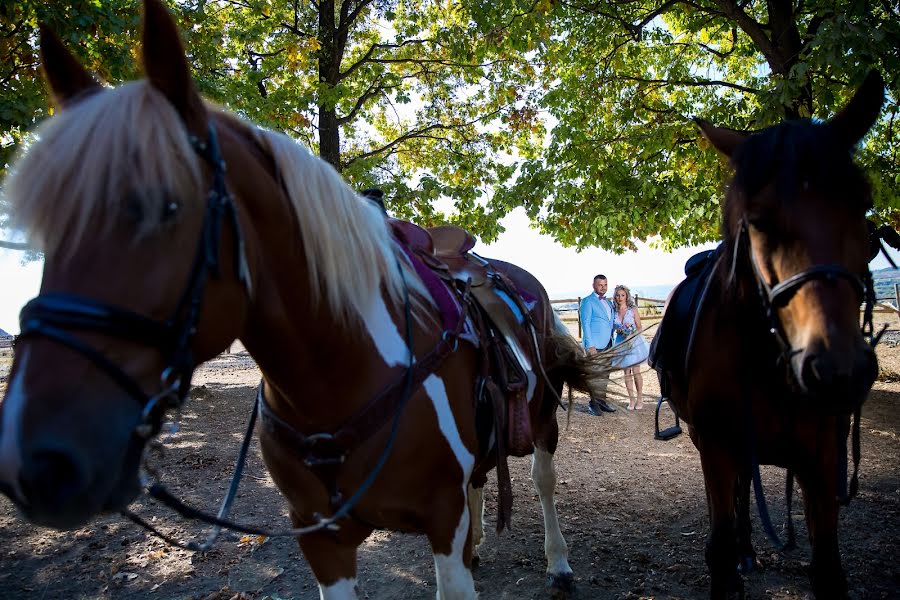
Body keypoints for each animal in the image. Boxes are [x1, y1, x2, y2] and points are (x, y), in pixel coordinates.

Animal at [0, 2, 608, 596]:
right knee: (482, 480)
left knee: (544, 480)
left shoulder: (441, 518)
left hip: (543, 421)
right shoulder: (322, 539)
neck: (340, 372)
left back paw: (559, 562)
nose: (37, 461)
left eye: (166, 206)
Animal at [656, 72, 884, 596]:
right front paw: (734, 553)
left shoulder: (823, 456)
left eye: (863, 203)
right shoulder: (717, 446)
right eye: (756, 220)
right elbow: (719, 546)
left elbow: (827, 565)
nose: (837, 369)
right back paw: (744, 549)